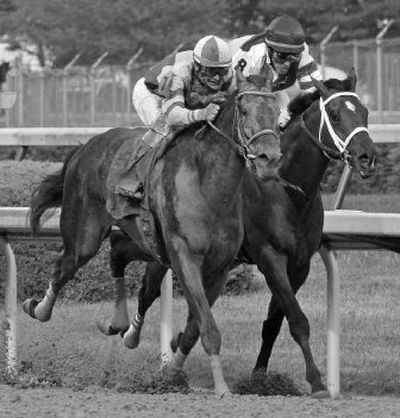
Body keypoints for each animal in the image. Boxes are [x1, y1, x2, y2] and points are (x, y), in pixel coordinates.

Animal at [23, 68, 282, 396]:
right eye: (245, 110)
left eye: (277, 112)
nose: (270, 159)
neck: (207, 184)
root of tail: (85, 146)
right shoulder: (185, 258)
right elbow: (209, 329)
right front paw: (222, 388)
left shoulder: (219, 268)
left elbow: (194, 330)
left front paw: (171, 372)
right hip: (84, 235)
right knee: (63, 267)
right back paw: (39, 308)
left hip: (146, 242)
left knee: (117, 252)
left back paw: (121, 325)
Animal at [95, 68, 376, 396]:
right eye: (334, 113)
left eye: (365, 111)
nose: (367, 157)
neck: (286, 193)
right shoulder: (269, 257)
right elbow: (297, 320)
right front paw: (317, 382)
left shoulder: (299, 265)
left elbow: (275, 323)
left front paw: (260, 376)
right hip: (168, 251)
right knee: (147, 290)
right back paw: (128, 336)